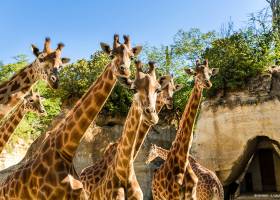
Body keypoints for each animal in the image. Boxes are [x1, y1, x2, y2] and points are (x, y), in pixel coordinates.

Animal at [151, 59, 219, 200]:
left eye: (210, 73)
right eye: (195, 73)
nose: (208, 83)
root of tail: (218, 188)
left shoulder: (190, 196)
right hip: (157, 196)